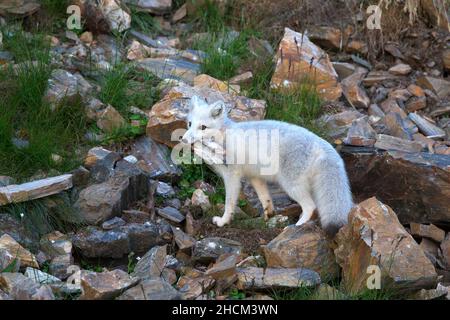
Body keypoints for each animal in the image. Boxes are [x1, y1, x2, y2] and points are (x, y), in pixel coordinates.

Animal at [181, 95, 354, 235]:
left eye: (203, 127)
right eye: (189, 124)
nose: (183, 139)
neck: (223, 136)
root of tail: (322, 144)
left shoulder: (232, 176)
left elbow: (229, 203)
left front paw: (223, 221)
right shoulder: (255, 178)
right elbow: (266, 199)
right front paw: (267, 217)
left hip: (291, 186)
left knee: (310, 206)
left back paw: (295, 227)